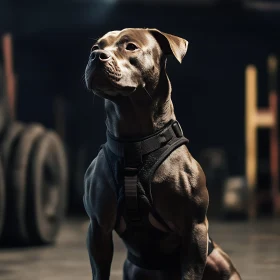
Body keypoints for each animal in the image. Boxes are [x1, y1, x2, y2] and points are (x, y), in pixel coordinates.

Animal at [83, 26, 241, 280]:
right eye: (95, 47)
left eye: (130, 46)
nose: (96, 56)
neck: (134, 144)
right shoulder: (98, 228)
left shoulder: (193, 228)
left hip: (220, 262)